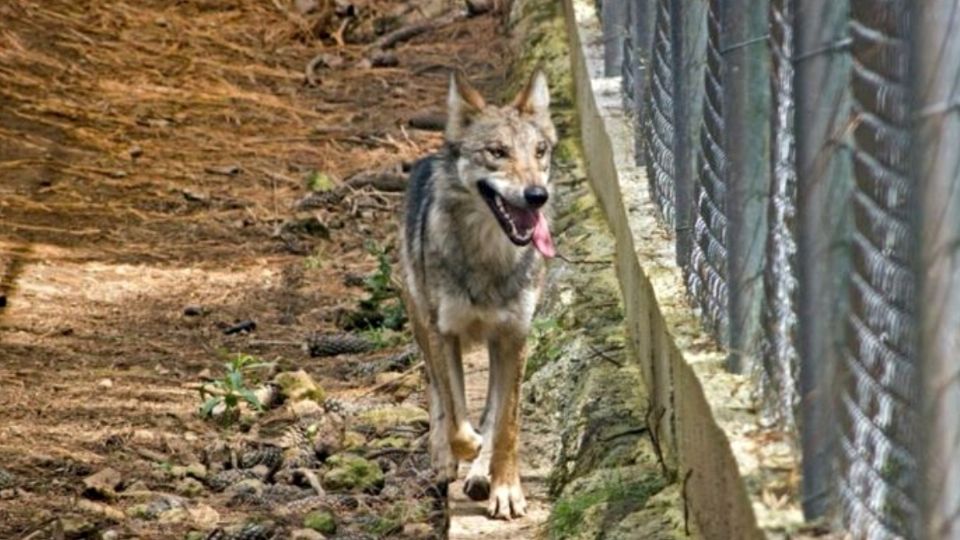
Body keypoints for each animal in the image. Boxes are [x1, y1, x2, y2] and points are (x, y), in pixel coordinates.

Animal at [402, 68, 560, 520]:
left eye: (540, 152)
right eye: (497, 152)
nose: (537, 195)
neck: (489, 260)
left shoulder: (515, 337)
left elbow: (505, 425)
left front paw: (505, 489)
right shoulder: (444, 334)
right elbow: (457, 417)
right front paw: (464, 448)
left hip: (495, 343)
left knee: (489, 407)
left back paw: (478, 473)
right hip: (421, 324)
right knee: (437, 392)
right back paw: (446, 459)